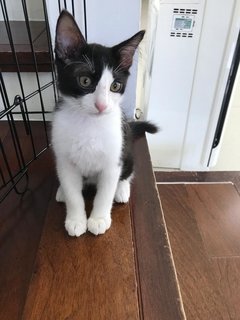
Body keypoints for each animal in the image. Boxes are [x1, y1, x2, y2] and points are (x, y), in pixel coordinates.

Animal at [51, 11, 158, 236]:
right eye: (84, 81)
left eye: (115, 86)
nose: (101, 105)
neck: (89, 123)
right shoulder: (64, 158)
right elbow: (73, 193)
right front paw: (76, 219)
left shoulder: (113, 158)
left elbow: (105, 193)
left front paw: (99, 219)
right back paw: (62, 191)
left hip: (126, 150)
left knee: (128, 171)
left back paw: (122, 189)